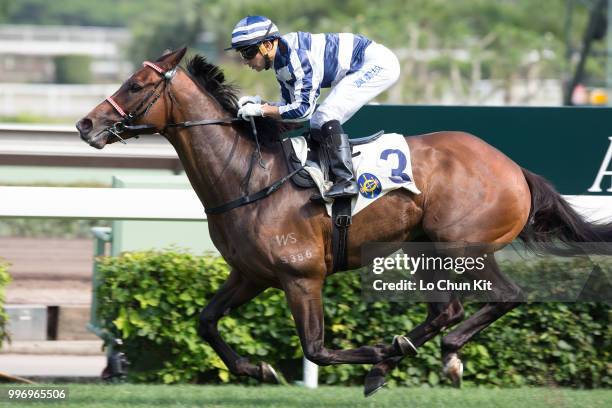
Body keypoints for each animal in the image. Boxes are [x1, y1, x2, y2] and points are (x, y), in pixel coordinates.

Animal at [76, 47, 612, 396]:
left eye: (137, 85)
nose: (85, 124)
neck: (247, 175)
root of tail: (514, 168)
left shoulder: (301, 276)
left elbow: (316, 349)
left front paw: (372, 354)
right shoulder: (250, 274)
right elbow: (206, 322)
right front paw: (258, 369)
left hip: (462, 248)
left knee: (502, 297)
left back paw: (423, 354)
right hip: (424, 249)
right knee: (448, 310)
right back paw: (411, 354)